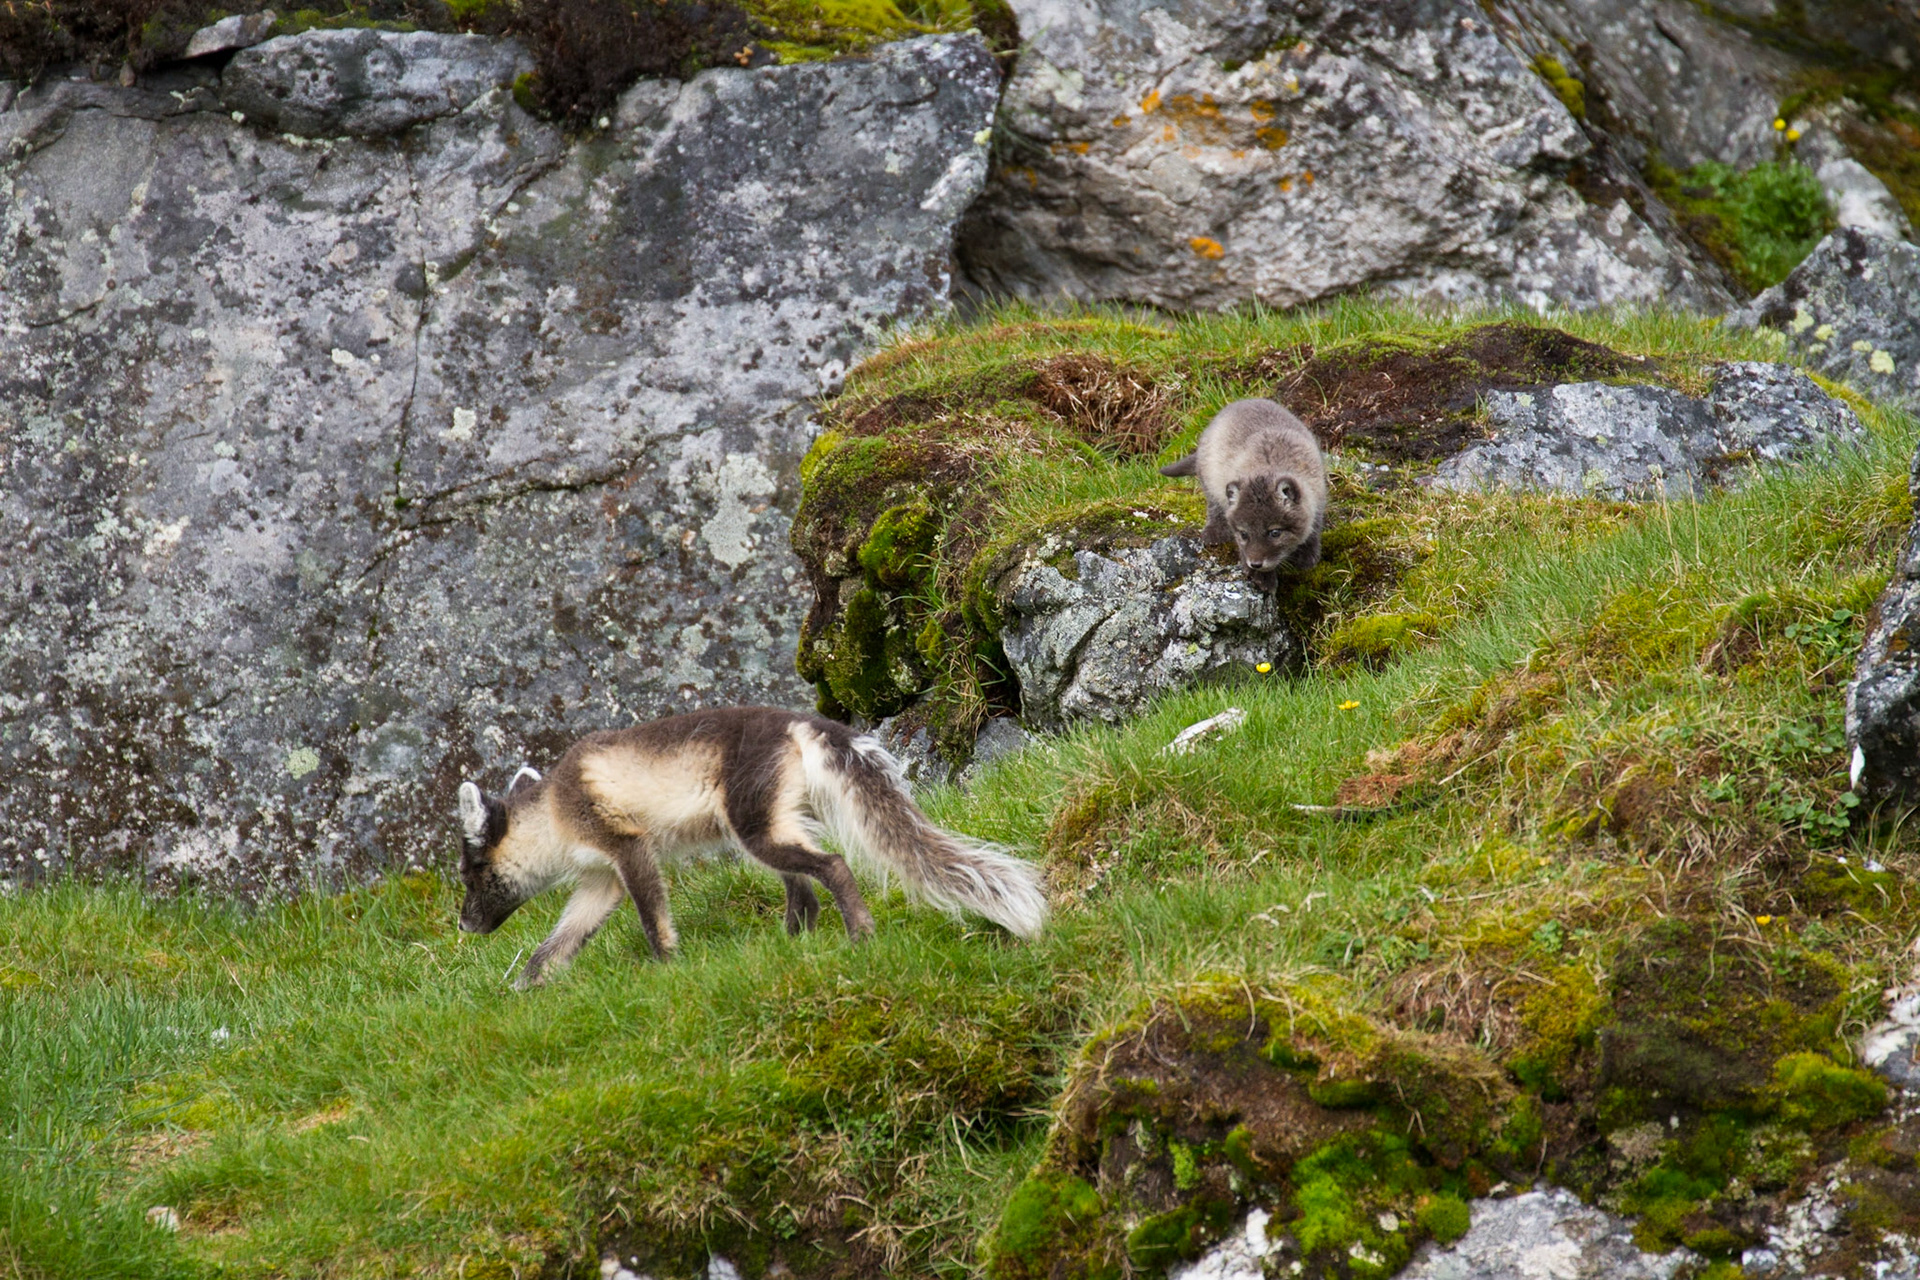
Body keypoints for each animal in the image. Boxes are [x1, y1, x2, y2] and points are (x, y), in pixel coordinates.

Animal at [454, 706, 1049, 988]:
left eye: (470, 871)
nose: (462, 924)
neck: (556, 808)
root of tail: (801, 720)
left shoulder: (627, 848)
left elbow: (653, 920)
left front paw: (669, 970)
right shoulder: (601, 879)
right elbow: (556, 944)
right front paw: (522, 992)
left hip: (755, 829)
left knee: (832, 866)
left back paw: (860, 934)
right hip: (771, 825)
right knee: (804, 895)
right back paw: (790, 946)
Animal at [1160, 398, 1328, 592]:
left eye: (1274, 532)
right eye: (1244, 534)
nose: (1255, 564)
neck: (1269, 465)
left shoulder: (1318, 496)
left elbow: (1314, 528)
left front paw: (1307, 558)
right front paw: (1261, 578)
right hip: (1210, 479)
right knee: (1214, 506)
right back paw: (1214, 533)